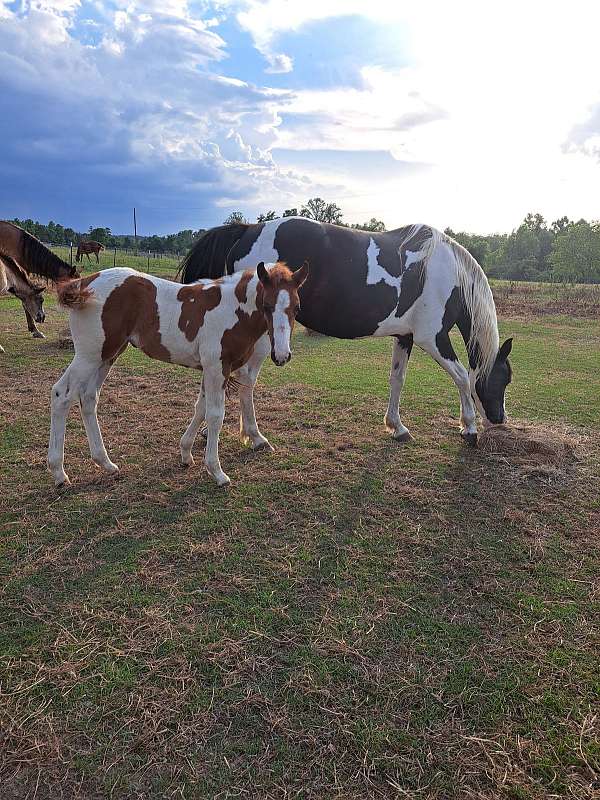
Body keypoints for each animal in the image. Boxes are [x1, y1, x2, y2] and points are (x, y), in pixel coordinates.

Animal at [48, 261, 308, 488]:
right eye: (266, 305)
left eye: (297, 308)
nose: (281, 355)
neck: (232, 311)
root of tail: (85, 283)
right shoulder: (217, 368)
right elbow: (215, 415)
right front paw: (216, 471)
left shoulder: (211, 370)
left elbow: (200, 408)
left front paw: (185, 453)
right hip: (89, 355)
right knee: (62, 395)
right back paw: (59, 473)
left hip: (108, 355)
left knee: (88, 398)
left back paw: (105, 463)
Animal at [178, 218, 513, 446]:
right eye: (503, 378)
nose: (499, 419)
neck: (447, 274)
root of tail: (247, 230)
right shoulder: (433, 338)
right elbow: (463, 376)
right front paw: (469, 427)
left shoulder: (406, 337)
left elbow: (397, 379)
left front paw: (397, 427)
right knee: (246, 379)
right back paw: (254, 436)